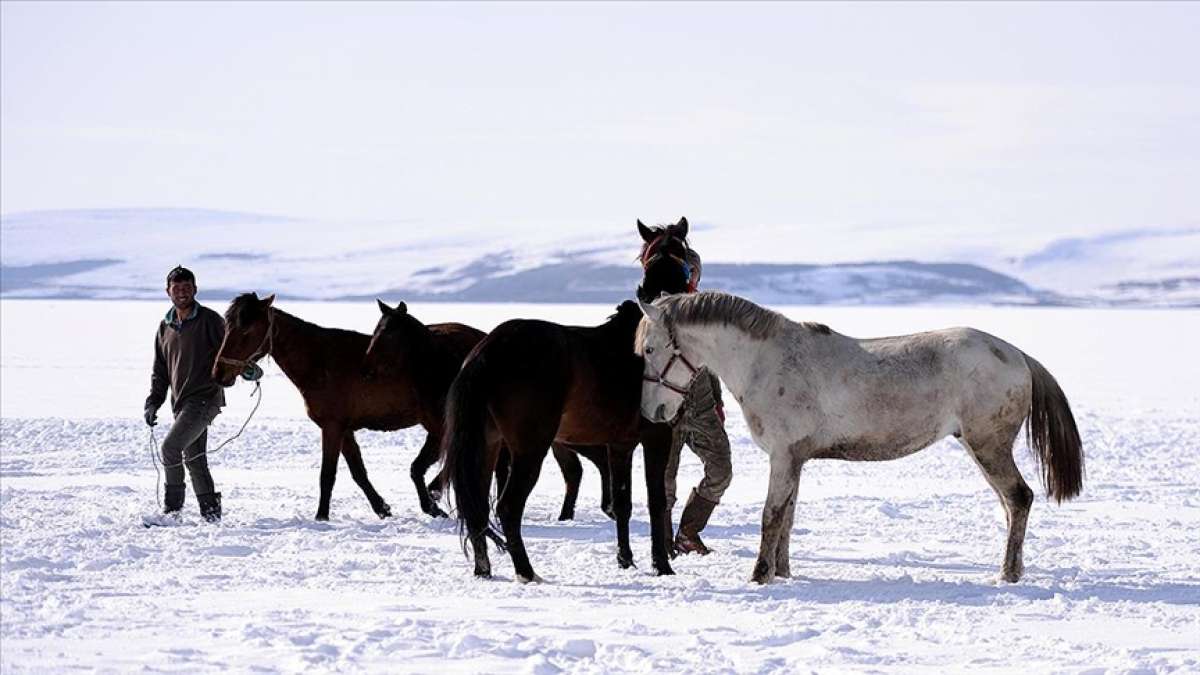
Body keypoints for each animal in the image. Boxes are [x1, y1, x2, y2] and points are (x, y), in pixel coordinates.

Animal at [213, 291, 484, 516]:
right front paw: (382, 508)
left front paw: (321, 517)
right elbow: (358, 472)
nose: (219, 373)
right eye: (227, 327)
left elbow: (327, 475)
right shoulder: (344, 429)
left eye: (246, 332)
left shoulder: (332, 427)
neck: (320, 361)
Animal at [441, 299, 681, 578]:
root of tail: (485, 353)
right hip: (530, 450)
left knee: (477, 507)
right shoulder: (657, 438)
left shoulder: (620, 446)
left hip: (487, 446)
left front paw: (625, 560)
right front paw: (661, 564)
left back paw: (483, 569)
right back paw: (526, 571)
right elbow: (657, 502)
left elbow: (622, 504)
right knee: (508, 507)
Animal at [638, 291, 1089, 581]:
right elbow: (788, 517)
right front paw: (783, 572)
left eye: (648, 349)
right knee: (1011, 505)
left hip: (988, 446)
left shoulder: (782, 456)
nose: (652, 413)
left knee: (1019, 499)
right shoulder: (794, 459)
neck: (765, 362)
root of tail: (1016, 354)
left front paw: (760, 576)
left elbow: (771, 516)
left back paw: (1007, 575)